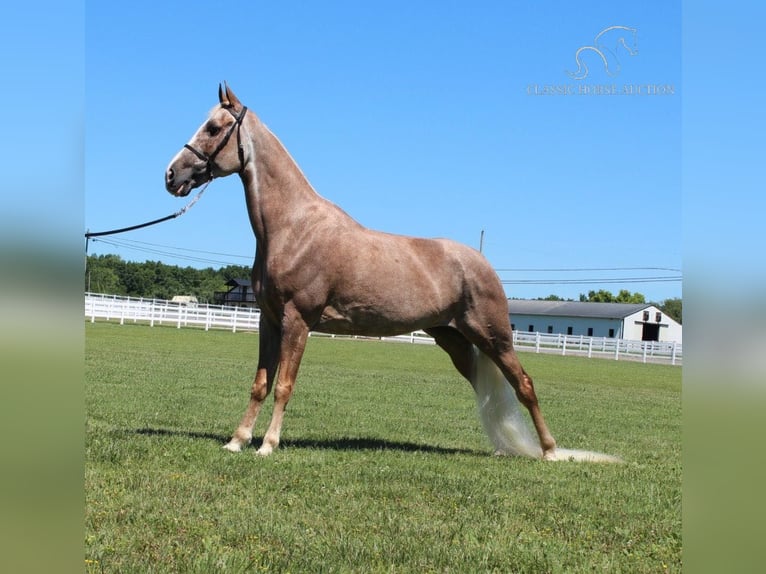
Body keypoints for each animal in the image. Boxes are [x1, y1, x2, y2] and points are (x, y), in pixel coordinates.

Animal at [166, 84, 576, 464]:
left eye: (214, 128)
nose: (171, 174)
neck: (294, 228)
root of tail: (481, 263)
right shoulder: (269, 320)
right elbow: (260, 384)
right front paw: (237, 440)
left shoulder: (297, 321)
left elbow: (284, 385)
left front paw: (268, 444)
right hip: (455, 340)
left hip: (494, 337)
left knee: (524, 384)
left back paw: (550, 451)